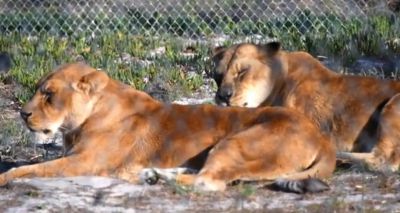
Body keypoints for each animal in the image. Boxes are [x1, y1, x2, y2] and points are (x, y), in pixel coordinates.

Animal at [0, 62, 334, 193]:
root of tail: (321, 137)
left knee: (209, 182)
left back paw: (155, 178)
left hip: (235, 142)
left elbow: (27, 169)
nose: (23, 114)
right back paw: (153, 174)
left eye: (49, 95)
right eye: (38, 90)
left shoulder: (85, 162)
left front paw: (5, 178)